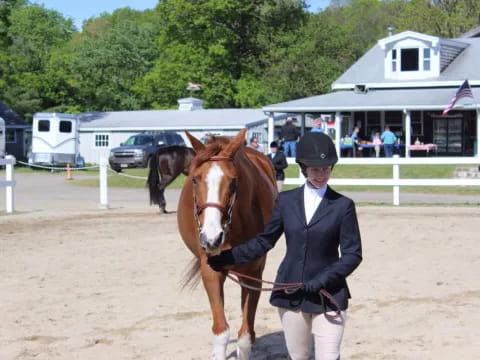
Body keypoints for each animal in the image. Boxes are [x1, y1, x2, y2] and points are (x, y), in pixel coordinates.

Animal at [177, 130, 276, 360]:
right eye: (194, 179)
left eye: (233, 181)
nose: (211, 238)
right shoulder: (211, 271)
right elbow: (221, 332)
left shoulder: (254, 274)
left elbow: (246, 337)